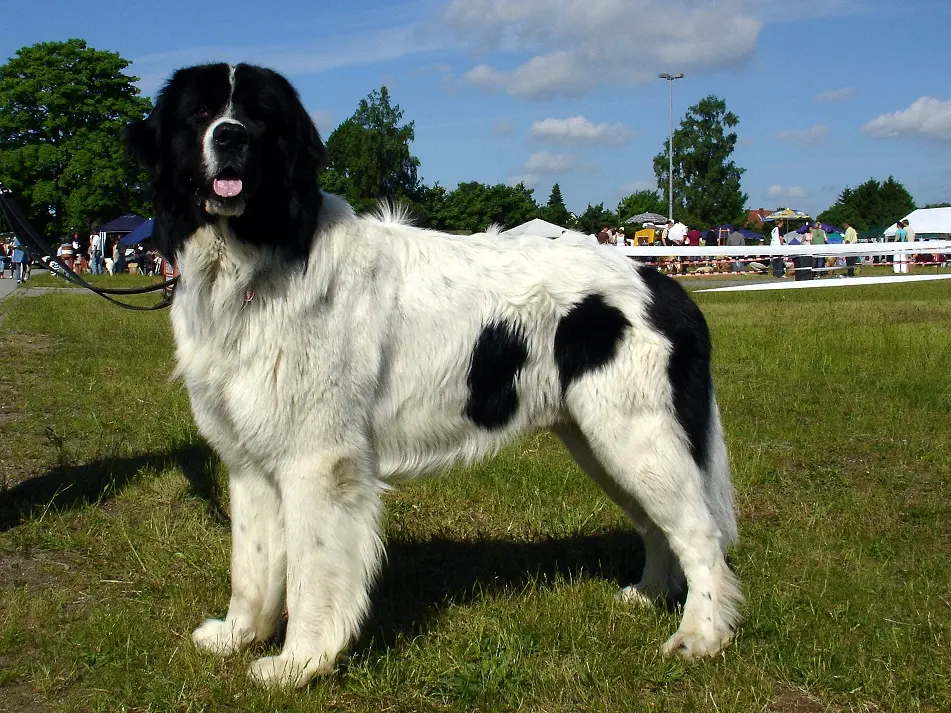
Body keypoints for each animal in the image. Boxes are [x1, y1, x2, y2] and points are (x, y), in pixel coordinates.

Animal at [124, 64, 744, 688]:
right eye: (201, 115)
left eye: (257, 117)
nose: (229, 137)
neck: (259, 258)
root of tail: (662, 284)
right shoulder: (249, 461)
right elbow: (250, 564)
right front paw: (238, 636)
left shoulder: (318, 461)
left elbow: (311, 572)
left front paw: (298, 663)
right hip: (598, 440)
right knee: (657, 525)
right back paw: (648, 594)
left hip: (637, 434)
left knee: (700, 533)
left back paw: (701, 636)